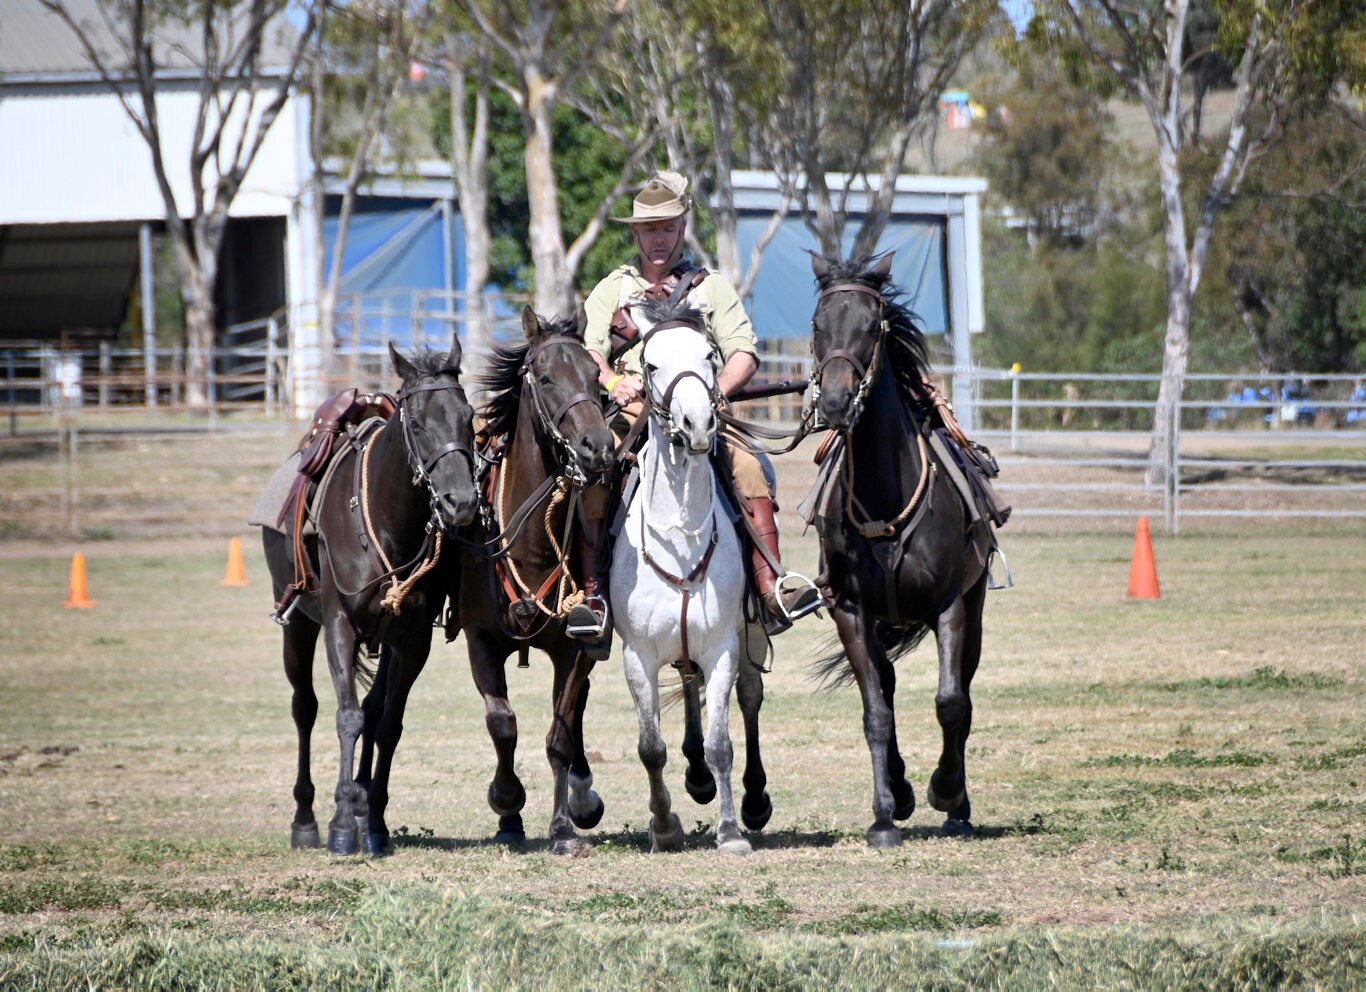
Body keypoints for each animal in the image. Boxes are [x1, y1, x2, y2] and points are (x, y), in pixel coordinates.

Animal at [263, 334, 478, 852]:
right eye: (417, 424)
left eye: (469, 417)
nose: (461, 502)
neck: (384, 517)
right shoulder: (339, 625)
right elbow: (347, 718)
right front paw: (342, 823)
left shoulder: (412, 639)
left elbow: (387, 722)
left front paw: (372, 819)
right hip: (298, 624)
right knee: (305, 708)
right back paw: (306, 820)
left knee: (372, 708)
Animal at [453, 307, 614, 858]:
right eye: (545, 378)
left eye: (595, 378)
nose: (598, 448)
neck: (528, 543)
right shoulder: (481, 640)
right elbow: (502, 724)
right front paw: (506, 803)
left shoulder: (573, 647)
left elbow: (560, 735)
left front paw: (563, 829)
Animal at [614, 299, 754, 858]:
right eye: (651, 365)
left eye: (709, 355)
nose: (697, 424)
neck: (681, 540)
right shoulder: (638, 657)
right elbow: (651, 747)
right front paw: (664, 825)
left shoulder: (723, 649)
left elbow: (721, 744)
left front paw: (731, 832)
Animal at [808, 252, 994, 852]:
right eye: (818, 325)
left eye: (873, 326)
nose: (837, 401)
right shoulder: (851, 611)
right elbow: (875, 711)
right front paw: (885, 814)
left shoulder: (951, 606)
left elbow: (950, 703)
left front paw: (946, 792)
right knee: (886, 687)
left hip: (975, 609)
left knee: (964, 693)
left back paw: (957, 805)